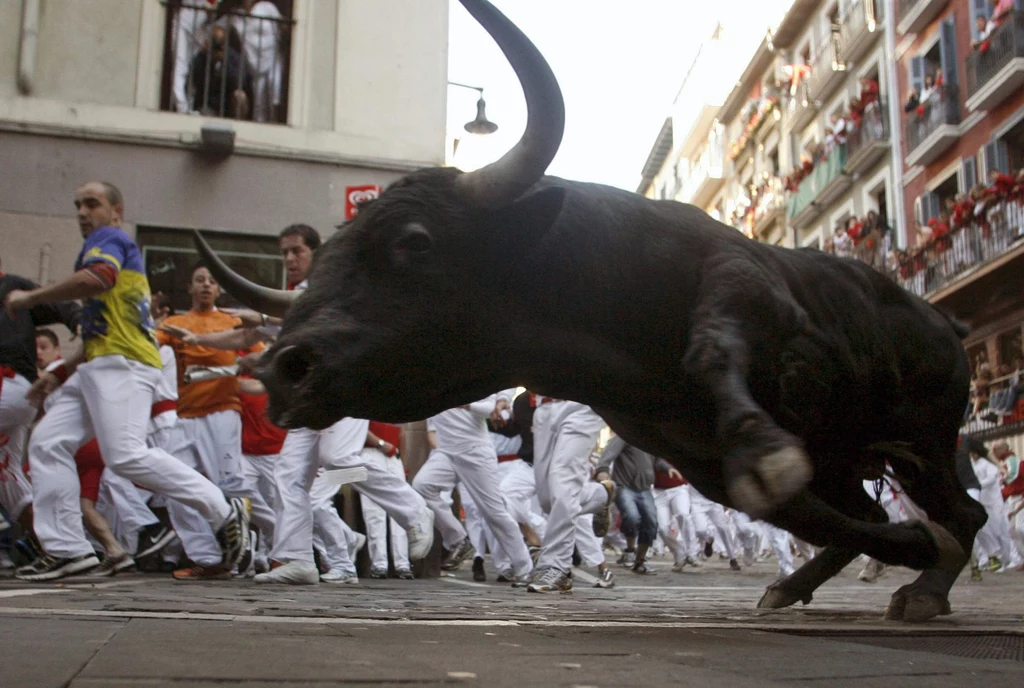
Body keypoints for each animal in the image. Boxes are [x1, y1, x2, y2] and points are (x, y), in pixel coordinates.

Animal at [195, 1, 987, 622]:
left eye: (414, 242)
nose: (282, 367)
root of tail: (943, 323)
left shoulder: (745, 287)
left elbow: (717, 352)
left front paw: (769, 449)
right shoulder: (694, 458)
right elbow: (797, 510)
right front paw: (901, 544)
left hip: (925, 438)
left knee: (966, 511)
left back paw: (927, 588)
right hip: (851, 454)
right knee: (878, 513)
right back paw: (808, 583)